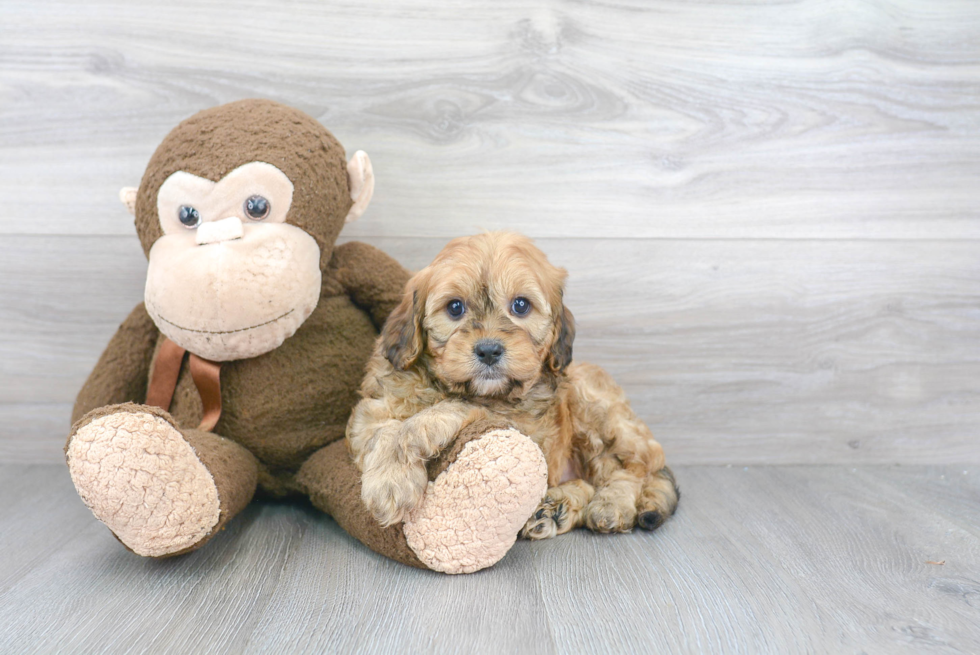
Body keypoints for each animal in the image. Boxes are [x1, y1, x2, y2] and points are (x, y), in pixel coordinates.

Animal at [348, 233, 676, 540]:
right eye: (455, 307)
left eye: (520, 305)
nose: (489, 350)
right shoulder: (371, 411)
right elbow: (382, 431)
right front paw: (391, 480)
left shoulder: (524, 426)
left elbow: (461, 407)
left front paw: (416, 433)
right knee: (590, 481)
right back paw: (553, 509)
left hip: (595, 405)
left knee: (632, 470)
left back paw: (611, 505)